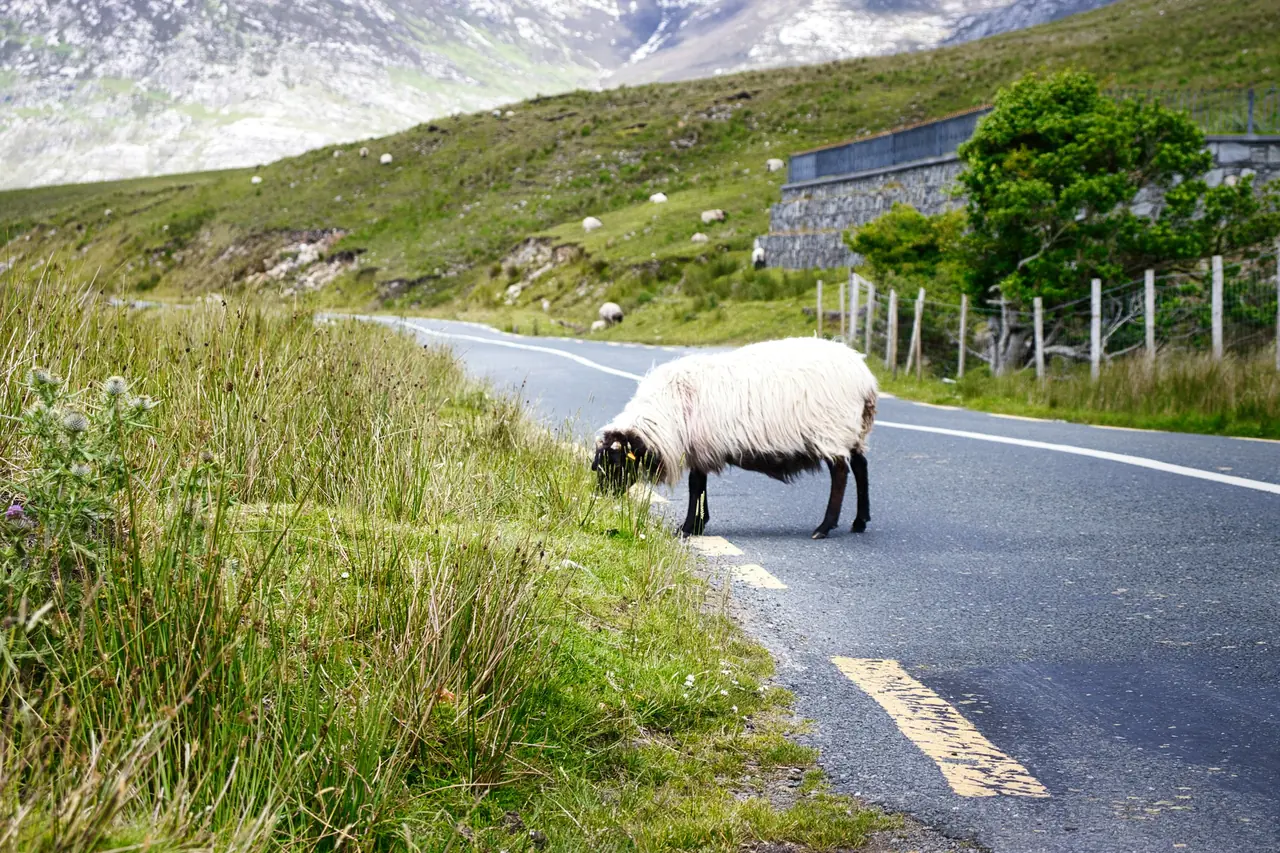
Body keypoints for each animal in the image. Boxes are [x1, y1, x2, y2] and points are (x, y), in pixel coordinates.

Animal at [591, 338, 876, 539]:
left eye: (613, 461)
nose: (600, 496)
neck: (664, 413)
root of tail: (865, 378)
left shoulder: (699, 447)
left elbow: (695, 486)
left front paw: (687, 528)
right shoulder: (701, 448)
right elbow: (700, 486)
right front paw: (698, 523)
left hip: (832, 428)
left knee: (840, 473)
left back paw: (825, 527)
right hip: (853, 430)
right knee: (861, 466)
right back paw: (859, 521)